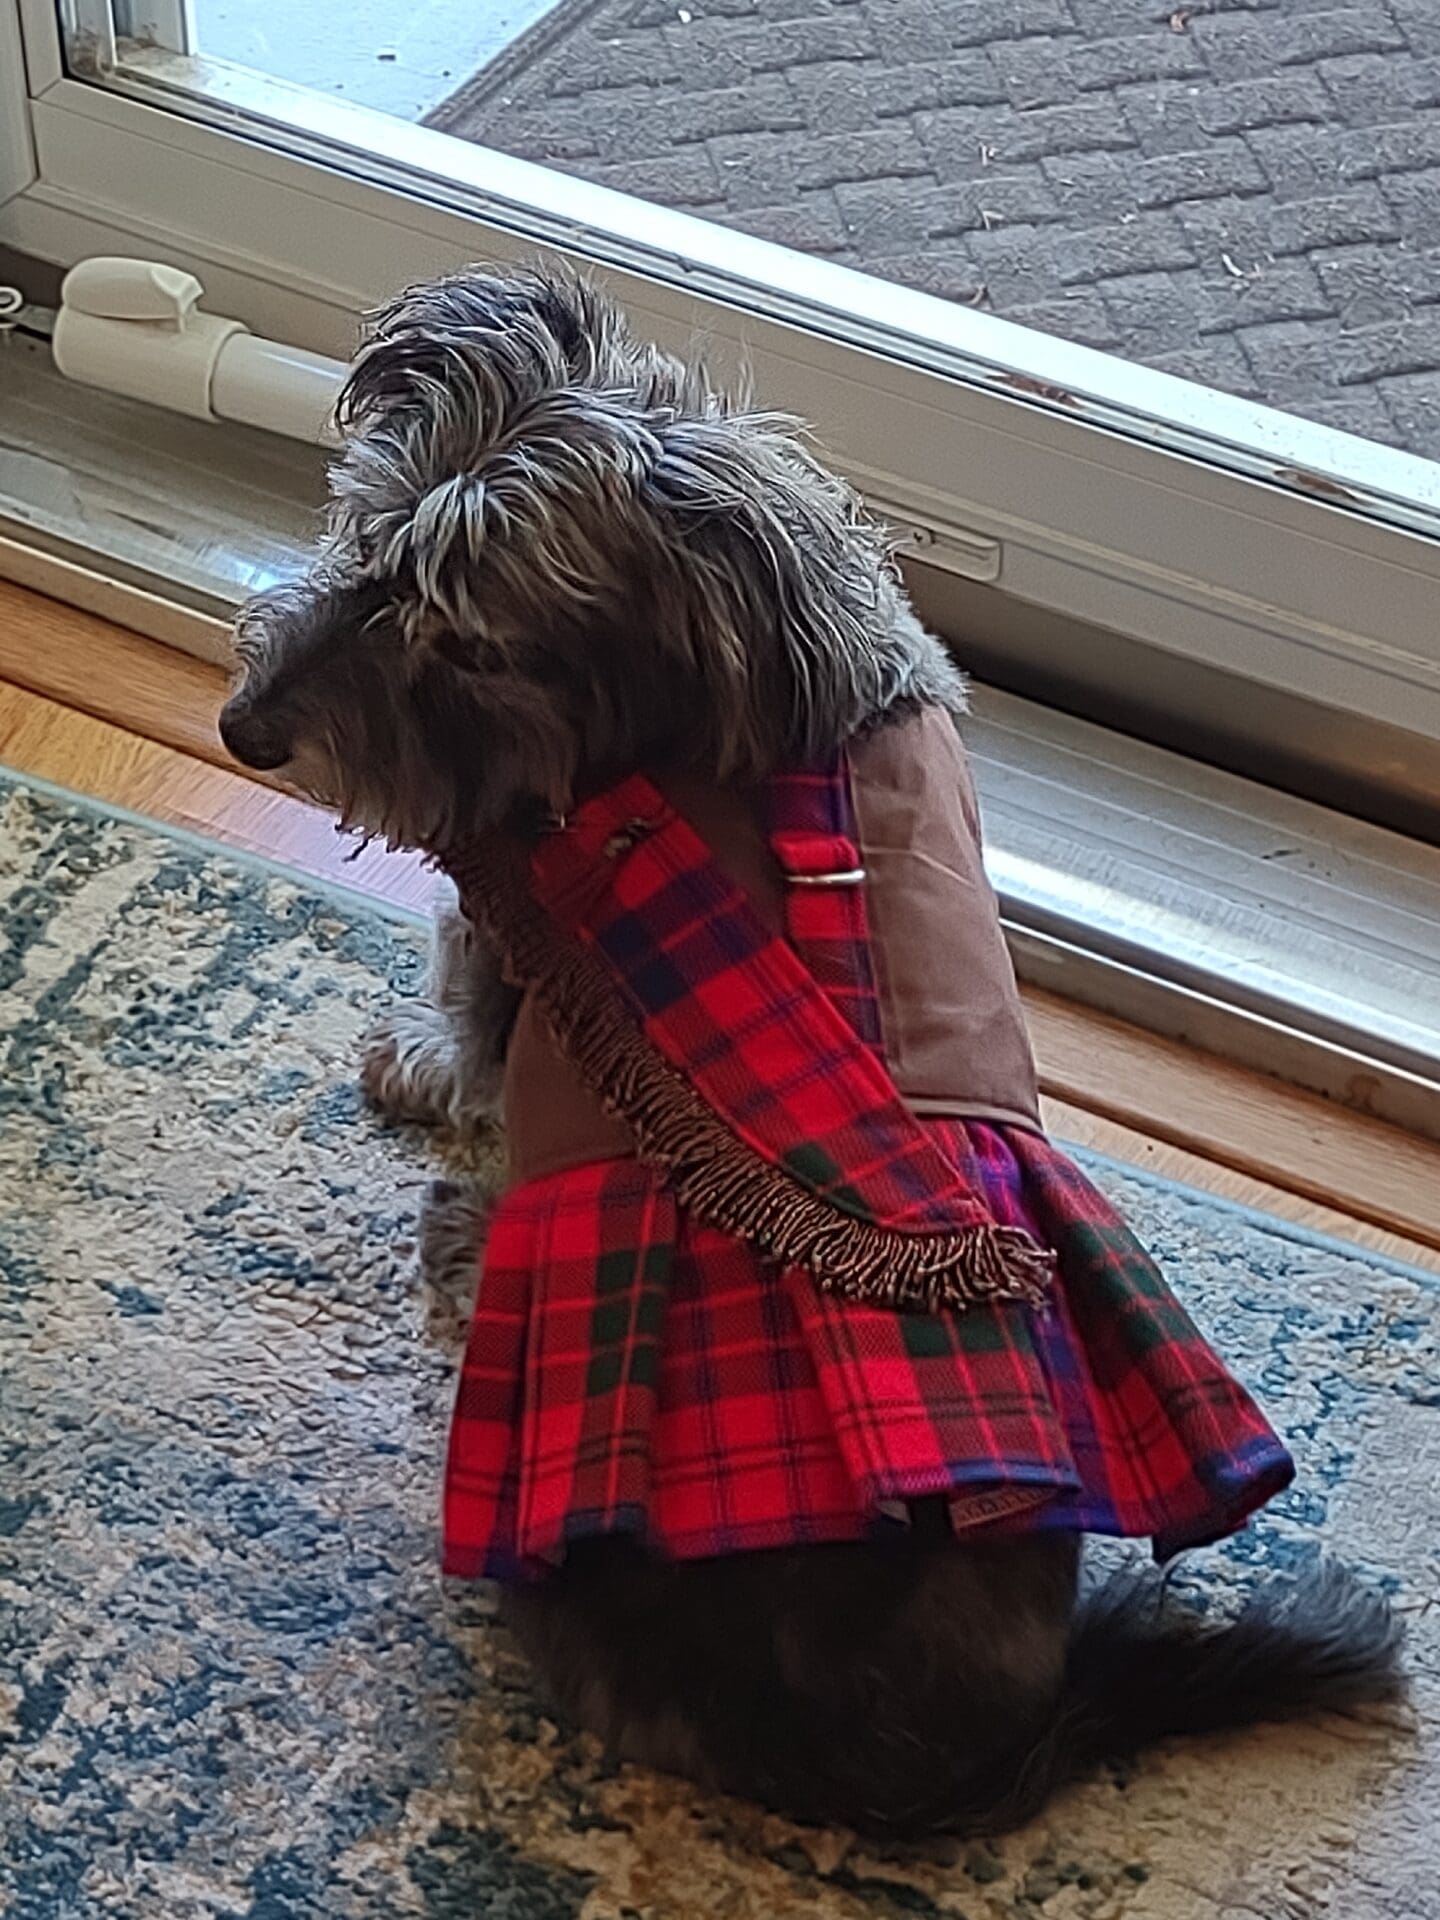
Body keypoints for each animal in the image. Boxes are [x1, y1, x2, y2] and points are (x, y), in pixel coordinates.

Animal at [219, 263, 1405, 1835]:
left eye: (467, 639)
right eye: (365, 536)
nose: (245, 727)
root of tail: (956, 1765)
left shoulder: (507, 933)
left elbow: (460, 1029)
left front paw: (408, 1065)